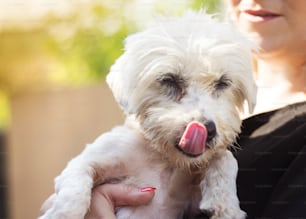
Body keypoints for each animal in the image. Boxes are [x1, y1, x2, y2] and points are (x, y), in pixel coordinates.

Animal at [39, 11, 256, 218]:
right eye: (169, 80)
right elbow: (74, 192)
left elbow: (225, 157)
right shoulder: (91, 160)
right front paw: (60, 213)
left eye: (223, 83)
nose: (208, 129)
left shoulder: (190, 198)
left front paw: (225, 203)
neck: (164, 158)